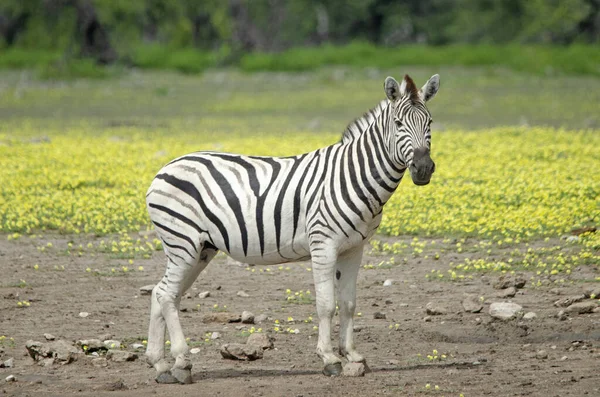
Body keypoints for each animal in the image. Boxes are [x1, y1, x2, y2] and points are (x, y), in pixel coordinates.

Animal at [144, 72, 438, 382]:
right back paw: (182, 361)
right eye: (398, 124)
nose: (423, 168)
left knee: (161, 293)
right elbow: (326, 304)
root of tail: (165, 168)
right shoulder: (324, 244)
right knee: (166, 294)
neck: (354, 175)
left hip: (201, 248)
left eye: (430, 122)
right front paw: (330, 358)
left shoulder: (354, 249)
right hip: (183, 242)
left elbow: (348, 304)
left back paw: (160, 364)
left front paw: (353, 356)